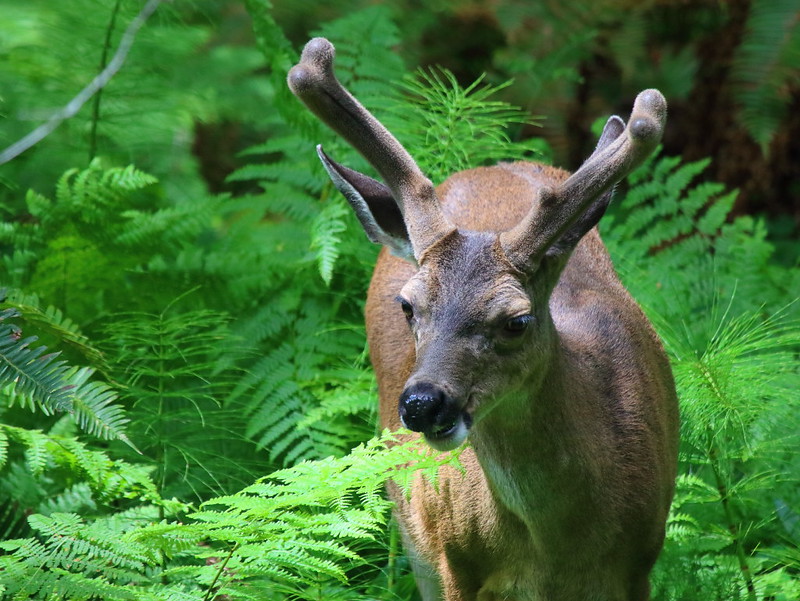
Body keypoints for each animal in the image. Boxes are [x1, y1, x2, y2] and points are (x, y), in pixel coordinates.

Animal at [288, 37, 679, 601]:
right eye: (407, 306)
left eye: (516, 321)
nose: (422, 404)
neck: (556, 551)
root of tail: (487, 166)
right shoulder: (453, 563)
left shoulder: (640, 562)